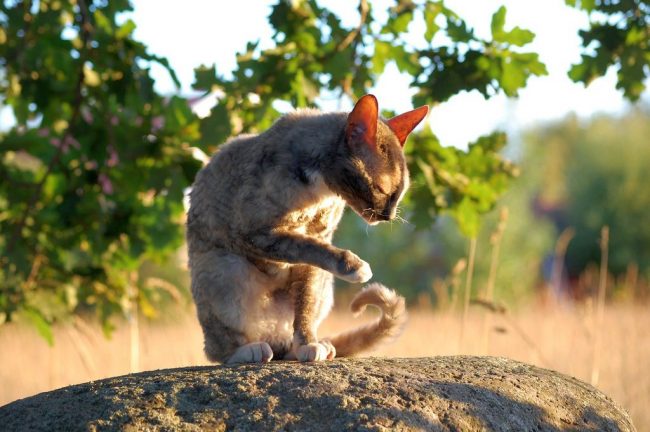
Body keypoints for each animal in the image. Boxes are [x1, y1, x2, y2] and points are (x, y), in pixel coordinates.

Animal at [185, 94, 428, 364]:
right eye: (381, 189)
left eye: (400, 194)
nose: (388, 216)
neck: (319, 195)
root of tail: (272, 336)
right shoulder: (254, 233)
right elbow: (307, 247)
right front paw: (355, 266)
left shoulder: (317, 244)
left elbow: (305, 305)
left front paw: (308, 344)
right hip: (226, 268)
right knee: (216, 348)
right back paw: (247, 350)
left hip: (324, 284)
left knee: (289, 332)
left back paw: (305, 348)